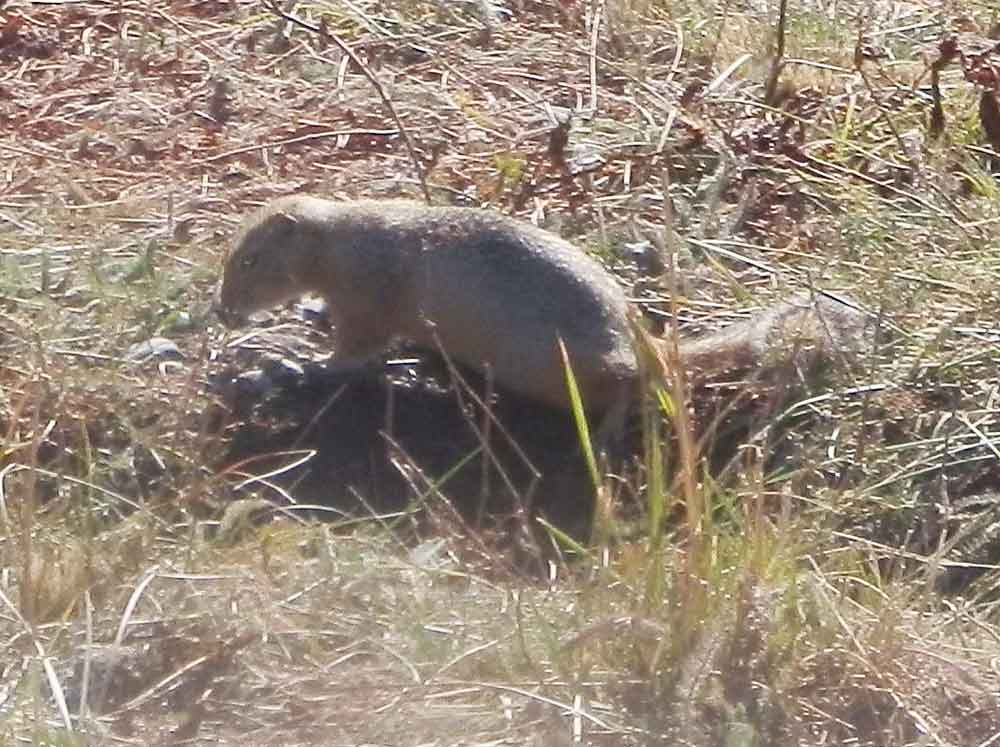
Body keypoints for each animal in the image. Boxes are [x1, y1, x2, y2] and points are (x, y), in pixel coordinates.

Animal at [219, 196, 640, 412]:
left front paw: (306, 363)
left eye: (249, 261)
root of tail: (630, 350)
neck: (336, 241)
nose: (222, 312)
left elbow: (353, 347)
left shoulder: (363, 302)